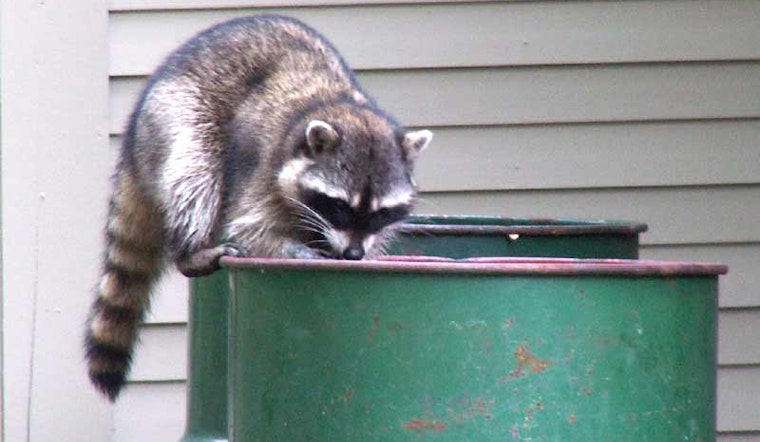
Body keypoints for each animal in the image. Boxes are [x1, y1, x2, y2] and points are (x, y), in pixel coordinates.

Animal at [85, 14, 432, 401]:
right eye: (339, 206)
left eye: (381, 213)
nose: (354, 255)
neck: (334, 102)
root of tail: (132, 144)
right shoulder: (261, 163)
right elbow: (249, 227)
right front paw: (296, 251)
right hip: (177, 116)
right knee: (196, 173)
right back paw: (192, 253)